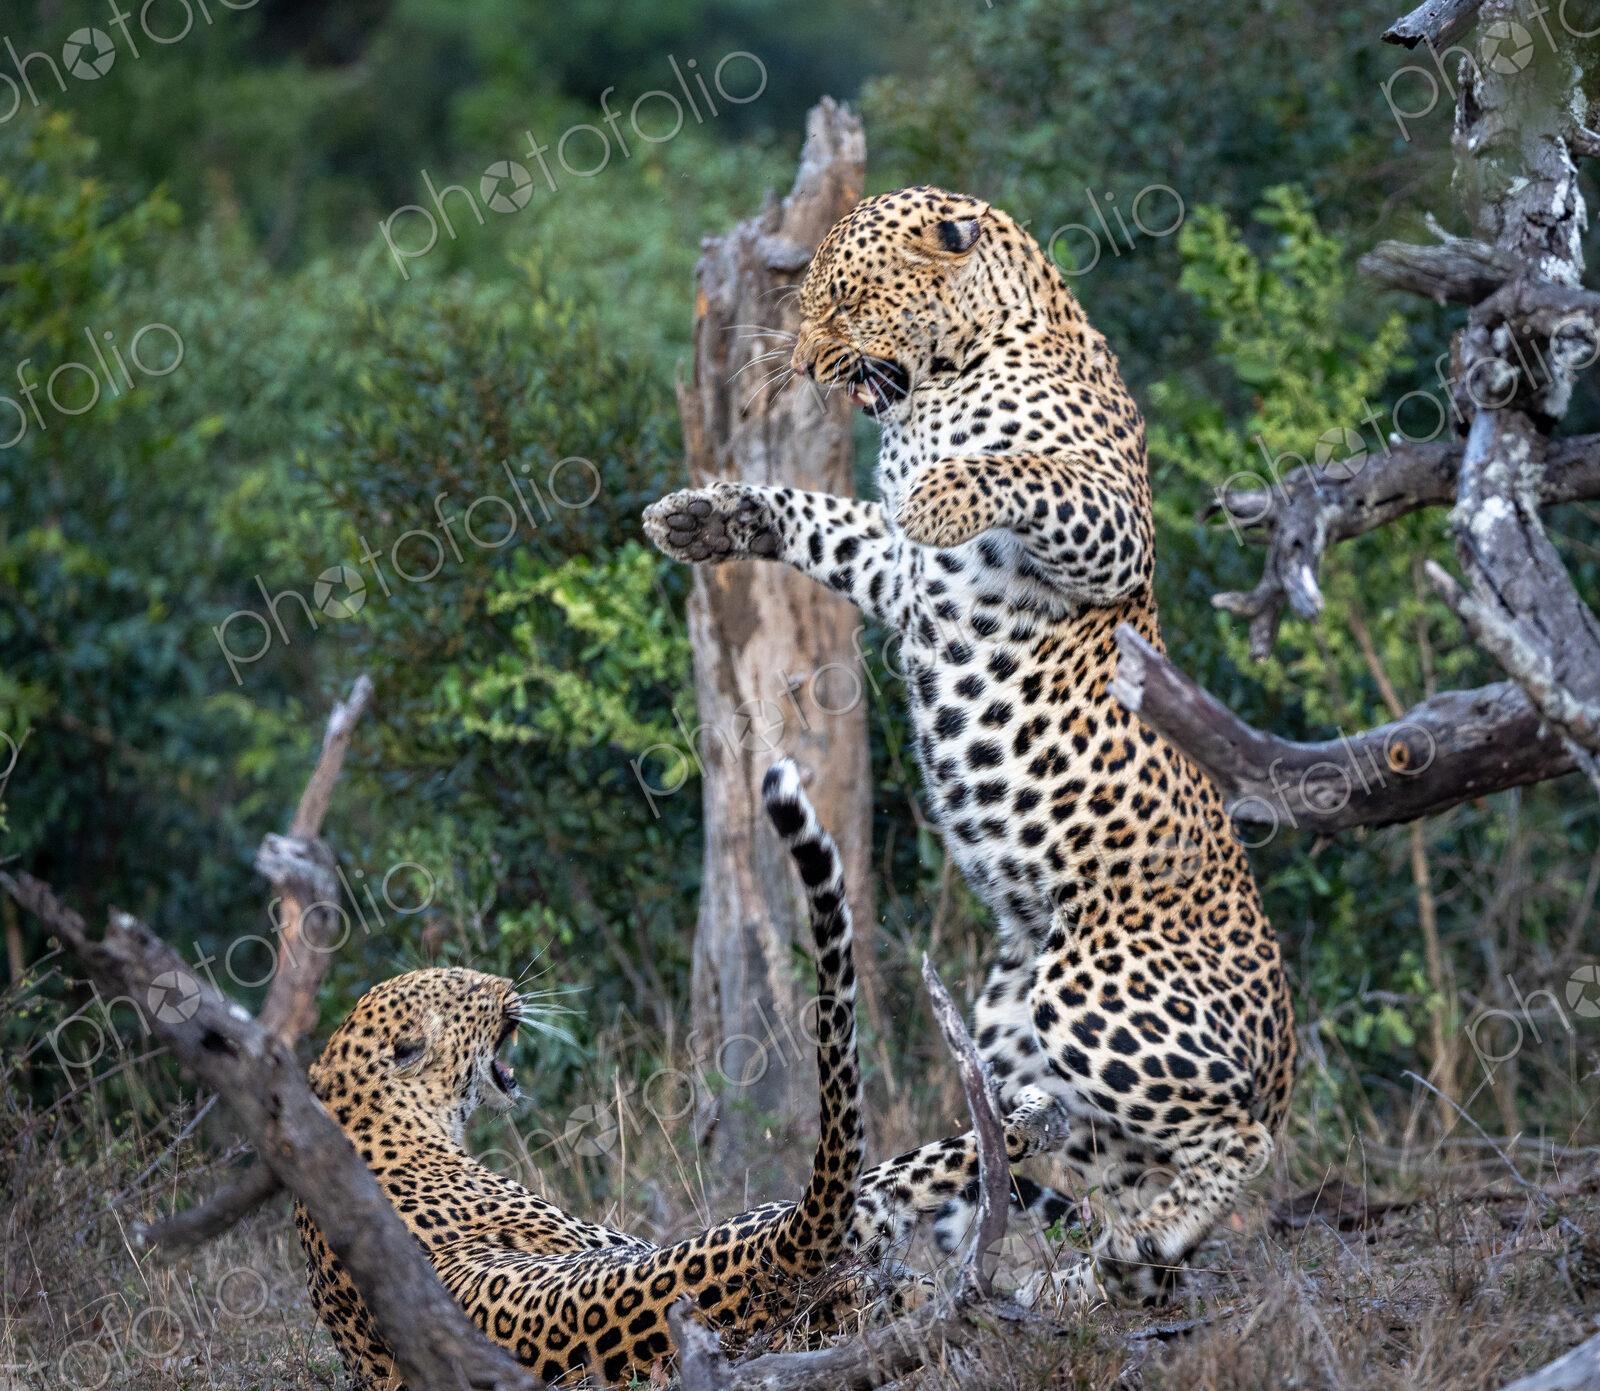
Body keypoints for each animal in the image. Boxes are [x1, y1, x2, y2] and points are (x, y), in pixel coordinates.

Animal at [296, 758, 1067, 1388]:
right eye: (468, 988)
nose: (509, 983)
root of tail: (775, 1259)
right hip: (752, 1230)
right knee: (915, 1180)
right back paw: (1041, 1127)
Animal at [643, 185, 1297, 1302]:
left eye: (845, 300)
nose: (807, 365)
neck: (956, 369)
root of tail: (1289, 1037)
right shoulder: (896, 569)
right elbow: (825, 517)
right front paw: (713, 513)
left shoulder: (1110, 527)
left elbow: (1021, 470)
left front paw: (948, 486)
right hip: (1009, 1020)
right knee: (1095, 1158)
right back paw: (1101, 1247)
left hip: (1089, 987)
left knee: (1242, 1139)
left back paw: (1137, 1234)